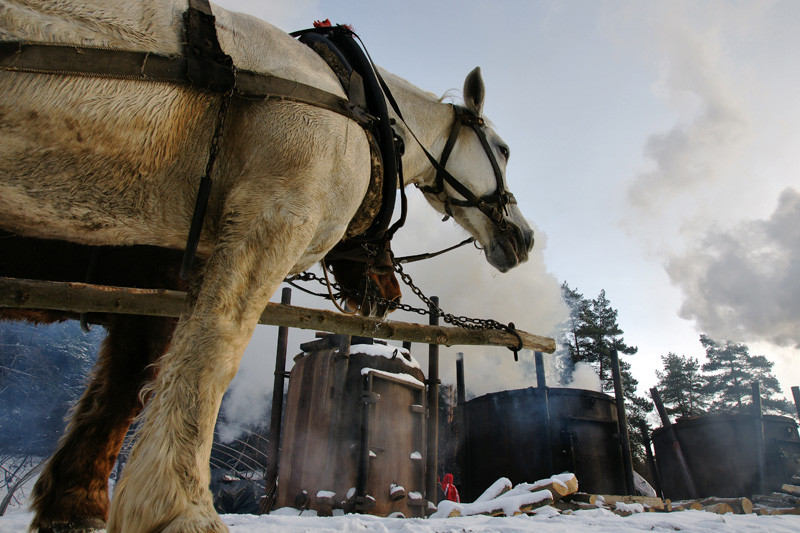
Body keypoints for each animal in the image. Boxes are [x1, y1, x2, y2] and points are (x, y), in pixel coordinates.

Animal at [3, 2, 536, 528]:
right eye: (504, 150)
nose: (525, 237)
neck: (346, 98)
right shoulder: (274, 217)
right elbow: (209, 354)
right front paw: (178, 505)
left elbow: (123, 389)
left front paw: (78, 506)